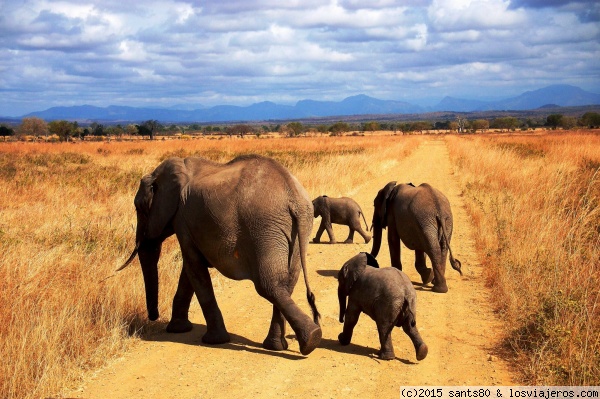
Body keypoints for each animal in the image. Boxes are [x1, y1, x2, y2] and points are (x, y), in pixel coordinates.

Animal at [119, 155, 322, 356]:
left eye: (139, 208)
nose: (154, 316)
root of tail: (294, 197)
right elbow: (189, 272)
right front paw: (177, 329)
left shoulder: (182, 220)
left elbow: (193, 268)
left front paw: (213, 341)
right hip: (295, 230)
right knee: (287, 283)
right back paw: (282, 345)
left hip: (264, 228)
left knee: (269, 285)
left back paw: (310, 339)